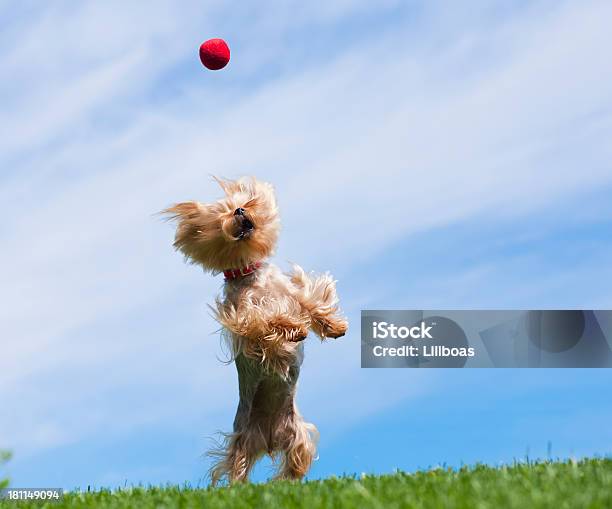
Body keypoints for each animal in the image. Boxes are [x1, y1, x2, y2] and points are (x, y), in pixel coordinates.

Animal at [163, 178, 346, 484]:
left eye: (243, 203)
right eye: (222, 216)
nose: (239, 211)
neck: (249, 273)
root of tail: (270, 441)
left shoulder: (292, 293)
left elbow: (310, 302)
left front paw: (333, 326)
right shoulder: (243, 318)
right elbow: (266, 322)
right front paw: (294, 330)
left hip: (298, 436)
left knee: (297, 458)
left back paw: (286, 482)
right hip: (243, 440)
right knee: (237, 466)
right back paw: (239, 487)